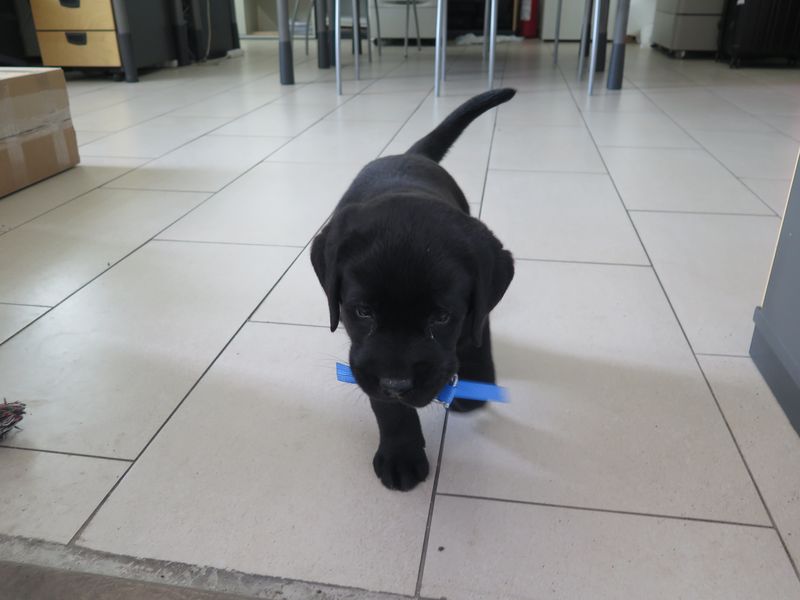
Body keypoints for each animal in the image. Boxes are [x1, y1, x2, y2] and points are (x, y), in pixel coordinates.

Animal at [311, 88, 516, 491]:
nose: (396, 383)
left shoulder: (475, 307)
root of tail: (410, 154)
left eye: (441, 317)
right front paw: (401, 454)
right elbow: (388, 406)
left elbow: (478, 335)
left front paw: (477, 381)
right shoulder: (366, 356)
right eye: (363, 311)